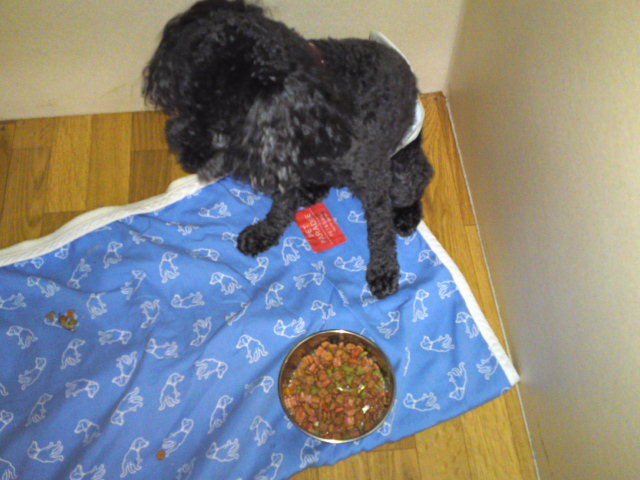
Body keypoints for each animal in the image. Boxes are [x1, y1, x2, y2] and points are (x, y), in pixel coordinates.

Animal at [143, 0, 434, 298]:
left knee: (418, 183)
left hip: (401, 176)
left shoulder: (373, 184)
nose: (187, 159)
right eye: (188, 103)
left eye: (226, 128)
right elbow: (280, 209)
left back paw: (406, 215)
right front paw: (264, 234)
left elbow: (380, 232)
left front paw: (383, 270)